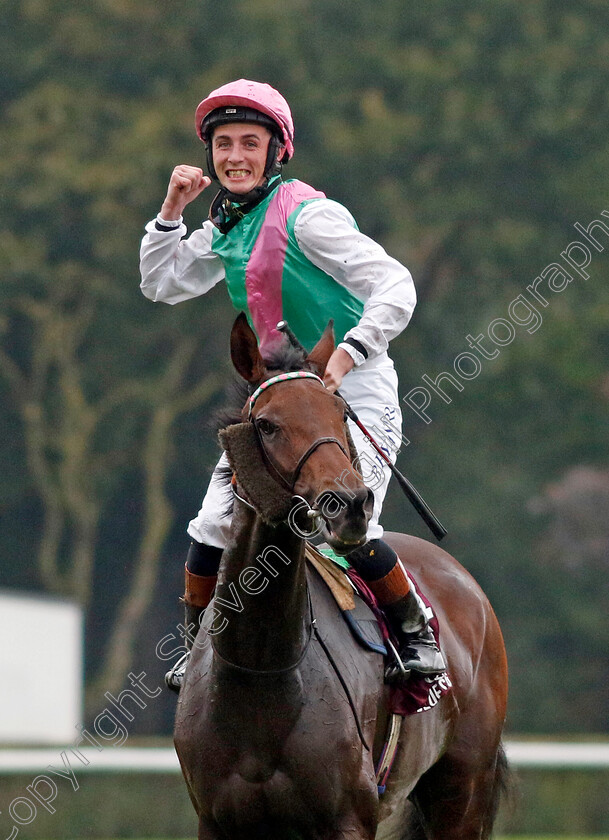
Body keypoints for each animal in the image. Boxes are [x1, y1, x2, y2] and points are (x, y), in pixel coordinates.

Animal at [172, 314, 508, 840]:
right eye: (267, 424)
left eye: (340, 413)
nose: (349, 503)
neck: (262, 672)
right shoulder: (216, 820)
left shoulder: (348, 818)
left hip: (463, 791)